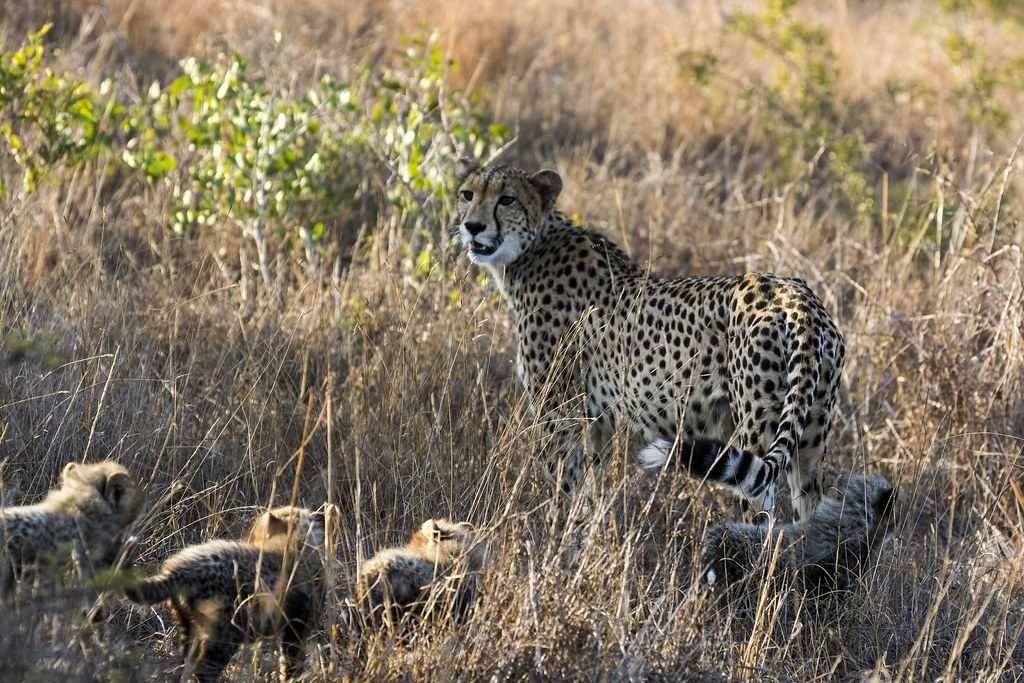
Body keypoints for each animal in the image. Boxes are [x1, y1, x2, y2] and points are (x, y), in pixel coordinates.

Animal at [124, 505, 328, 682]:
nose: (249, 539)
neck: (297, 541)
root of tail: (177, 570)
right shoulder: (296, 627)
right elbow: (291, 666)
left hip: (189, 627)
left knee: (182, 665)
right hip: (225, 633)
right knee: (203, 670)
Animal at [453, 157, 846, 522]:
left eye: (507, 199)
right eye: (468, 194)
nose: (472, 227)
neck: (532, 249)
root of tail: (795, 296)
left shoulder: (558, 415)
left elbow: (566, 488)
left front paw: (560, 538)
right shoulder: (597, 421)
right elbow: (592, 489)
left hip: (757, 430)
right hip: (810, 433)